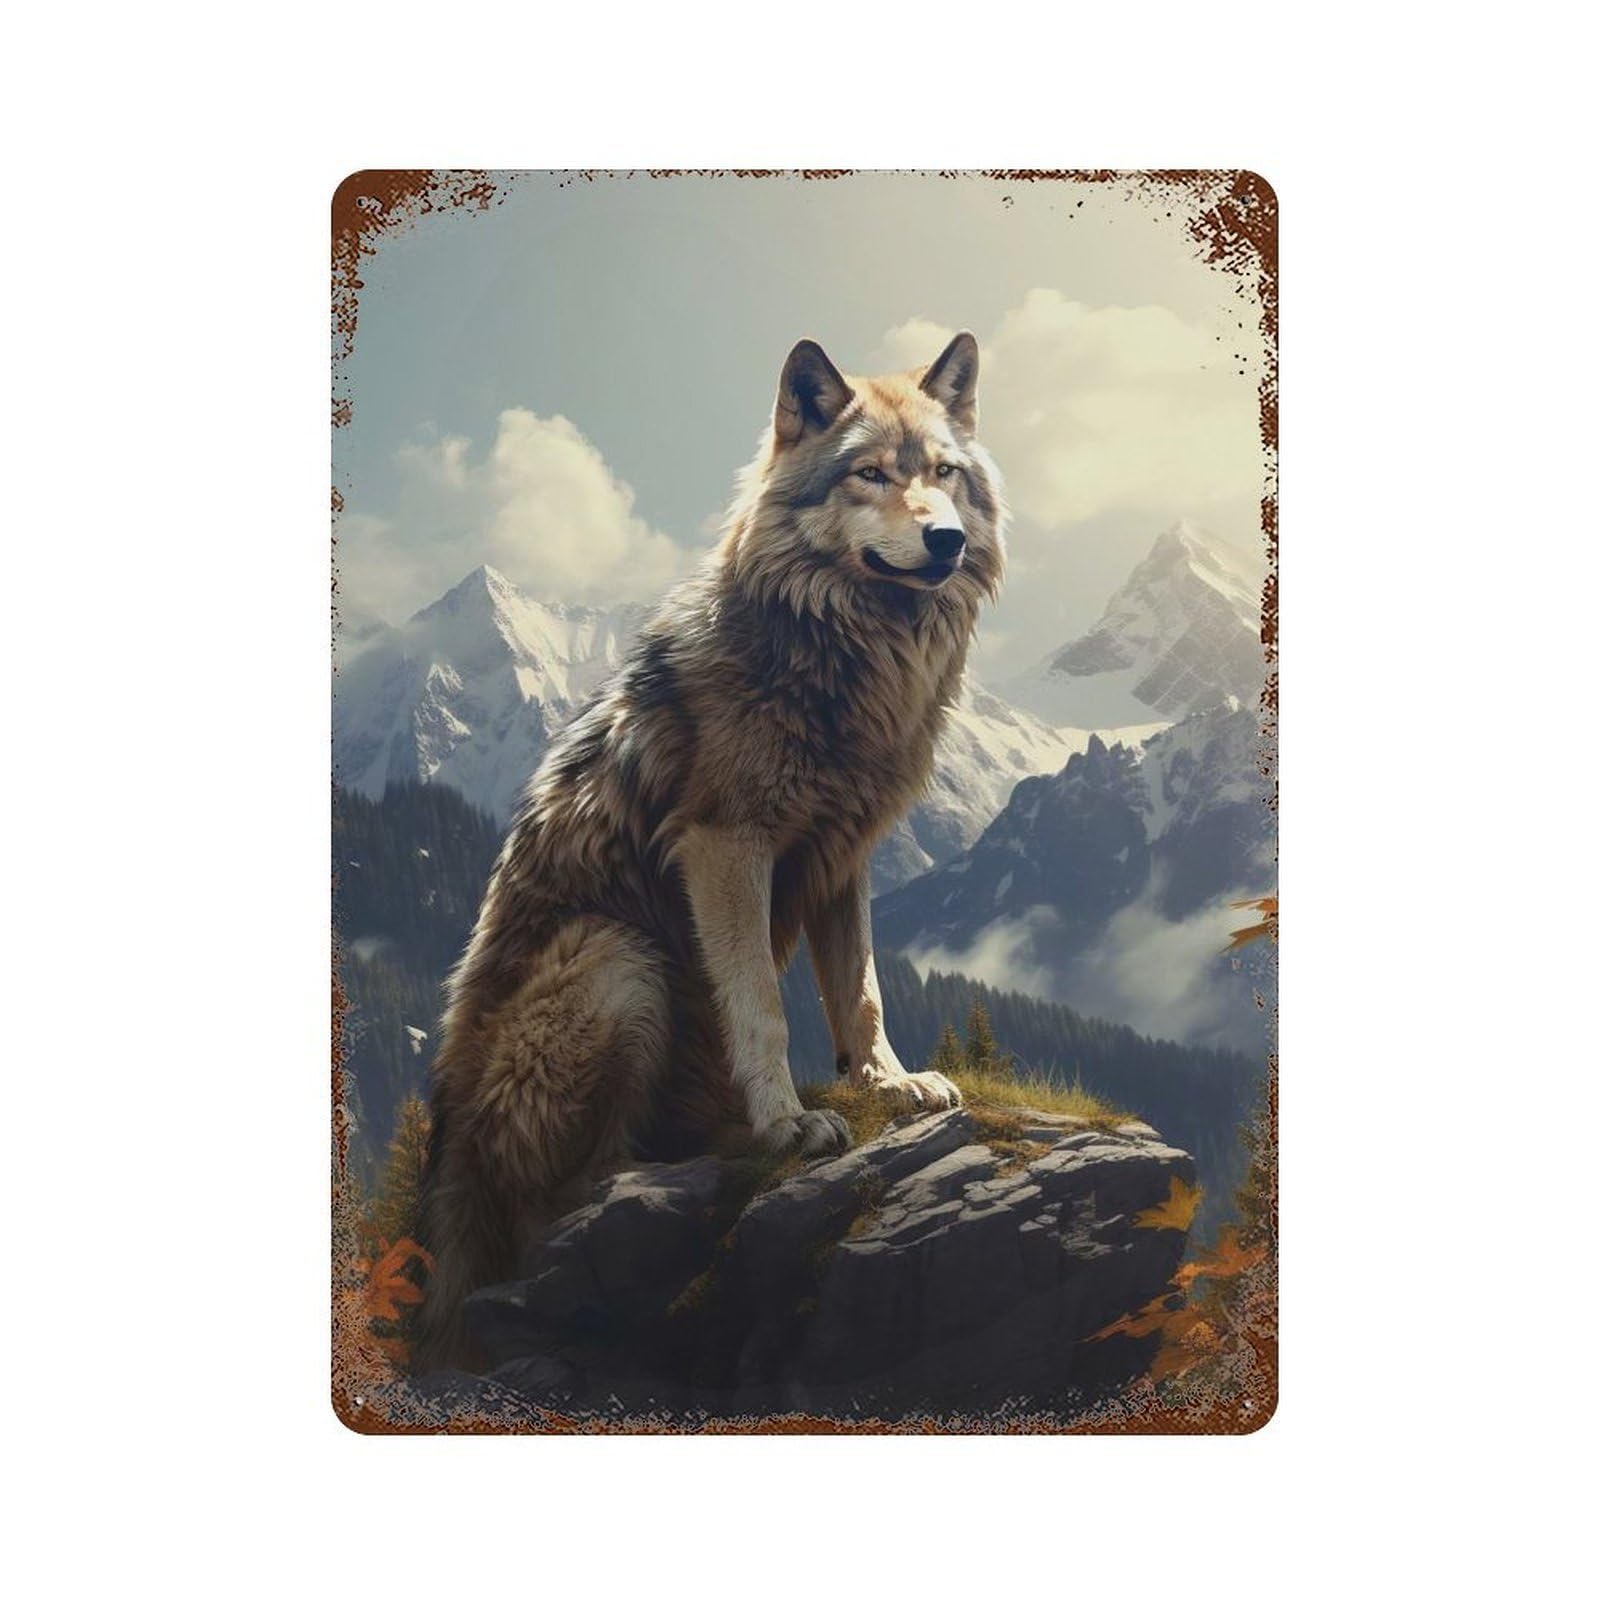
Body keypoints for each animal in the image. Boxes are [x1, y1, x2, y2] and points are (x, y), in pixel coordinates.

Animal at [410, 332, 1007, 1370]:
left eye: (943, 474)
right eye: (870, 475)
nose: (946, 541)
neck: (848, 654)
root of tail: (449, 1181)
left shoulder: (843, 854)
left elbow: (859, 990)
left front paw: (889, 1082)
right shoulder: (728, 844)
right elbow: (761, 1005)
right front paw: (787, 1120)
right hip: (620, 958)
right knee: (565, 1203)